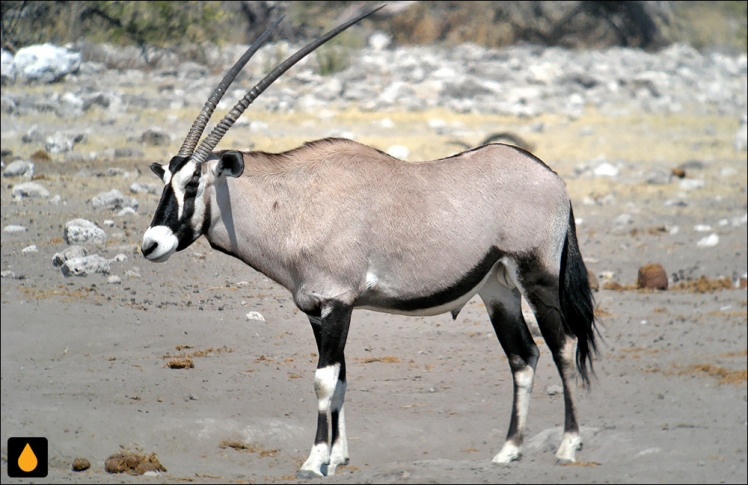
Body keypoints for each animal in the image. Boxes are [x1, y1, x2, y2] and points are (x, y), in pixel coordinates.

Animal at [139, 6, 596, 476]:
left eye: (193, 183)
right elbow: (339, 377)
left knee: (562, 347)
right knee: (523, 357)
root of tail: (554, 179)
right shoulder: (316, 310)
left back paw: (568, 444)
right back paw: (509, 449)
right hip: (498, 289)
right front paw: (337, 456)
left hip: (538, 278)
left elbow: (324, 381)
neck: (297, 202)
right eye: (166, 180)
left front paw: (314, 460)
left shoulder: (337, 303)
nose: (151, 244)